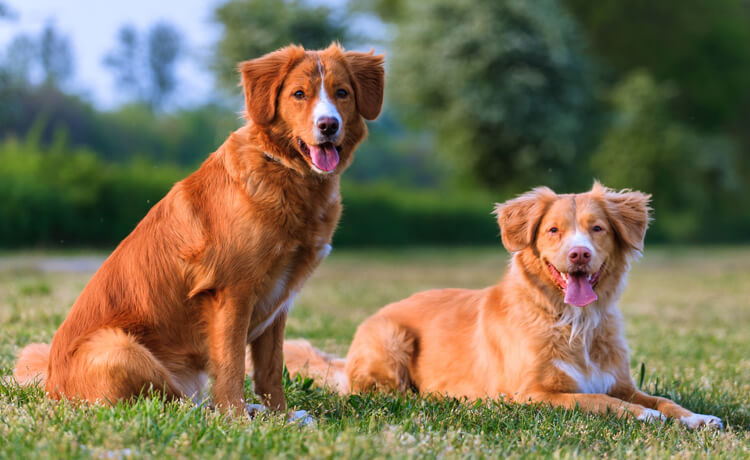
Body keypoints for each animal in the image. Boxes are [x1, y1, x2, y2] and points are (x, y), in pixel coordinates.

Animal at [13, 43, 384, 416]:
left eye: (342, 93)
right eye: (299, 94)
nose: (328, 125)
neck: (284, 171)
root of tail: (50, 384)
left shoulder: (280, 300)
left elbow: (270, 369)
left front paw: (281, 415)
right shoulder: (232, 292)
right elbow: (232, 366)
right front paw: (236, 418)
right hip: (120, 348)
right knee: (173, 403)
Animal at [284, 182, 724, 428]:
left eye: (597, 229)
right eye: (553, 230)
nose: (579, 254)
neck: (574, 321)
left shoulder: (621, 383)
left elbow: (663, 400)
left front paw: (696, 418)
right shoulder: (531, 395)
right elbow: (598, 400)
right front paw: (645, 417)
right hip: (390, 339)